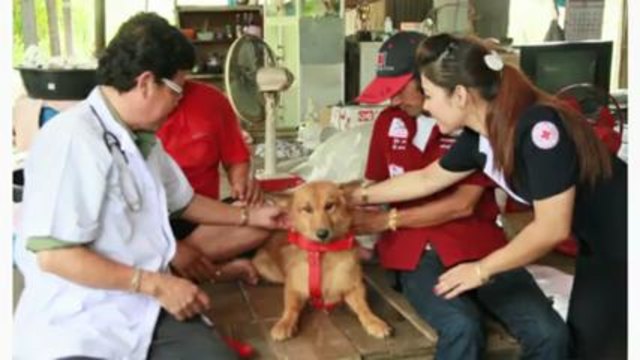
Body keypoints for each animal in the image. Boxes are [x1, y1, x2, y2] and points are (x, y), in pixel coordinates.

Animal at [251, 181, 390, 342]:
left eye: (329, 206)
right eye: (307, 209)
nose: (322, 233)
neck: (322, 252)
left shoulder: (354, 287)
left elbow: (364, 307)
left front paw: (374, 321)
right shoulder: (293, 288)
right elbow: (291, 307)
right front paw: (284, 323)